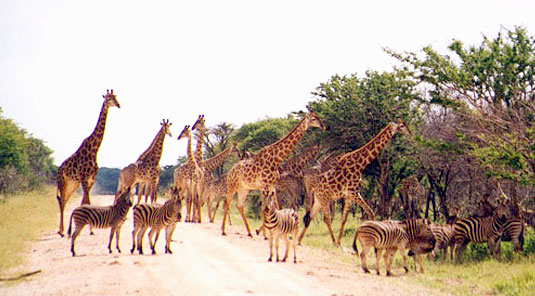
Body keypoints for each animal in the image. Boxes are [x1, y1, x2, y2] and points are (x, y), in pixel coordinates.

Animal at [55, 88, 120, 236]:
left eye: (116, 97)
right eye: (108, 99)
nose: (119, 105)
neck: (95, 150)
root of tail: (58, 170)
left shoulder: (91, 180)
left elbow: (85, 202)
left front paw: (89, 227)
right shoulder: (85, 179)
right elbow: (87, 201)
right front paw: (90, 229)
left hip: (72, 184)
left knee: (64, 201)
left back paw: (62, 230)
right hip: (63, 183)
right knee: (61, 202)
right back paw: (61, 231)